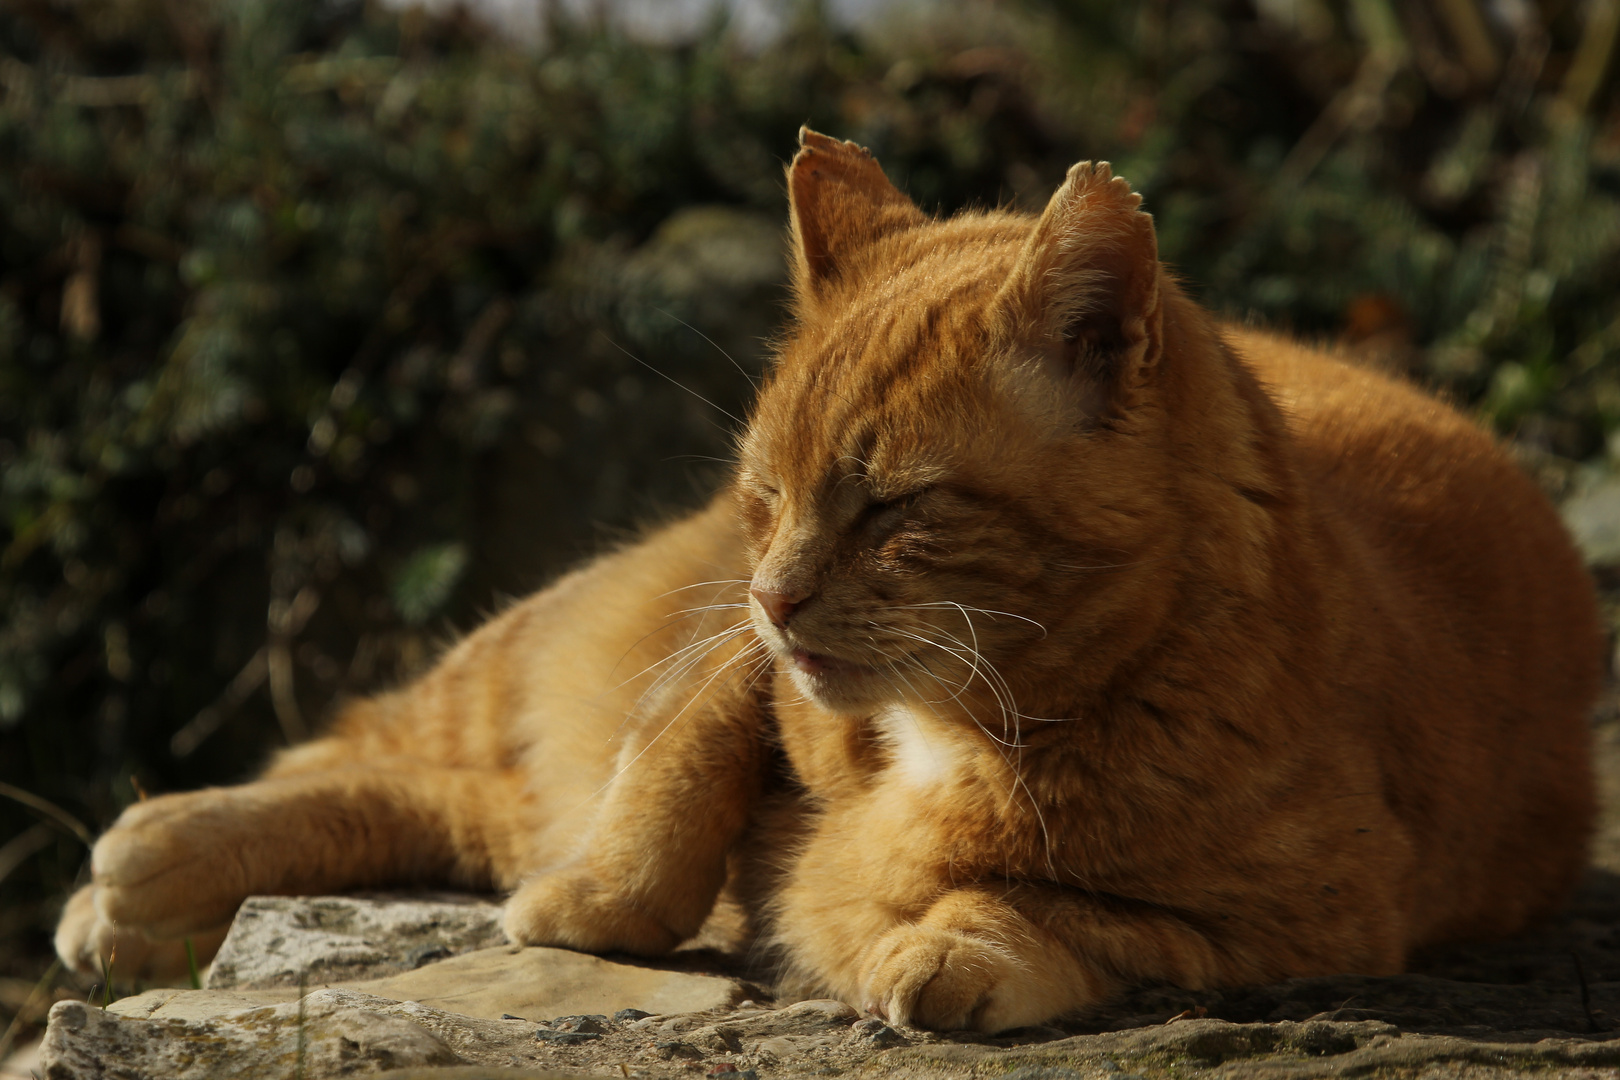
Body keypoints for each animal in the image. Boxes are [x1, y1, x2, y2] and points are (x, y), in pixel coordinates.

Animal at [50, 131, 1594, 1036]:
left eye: (897, 506)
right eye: (768, 498)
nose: (778, 594)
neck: (966, 724)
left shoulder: (1313, 922)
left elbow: (1075, 913)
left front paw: (953, 948)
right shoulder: (723, 666)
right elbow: (672, 773)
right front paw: (599, 899)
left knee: (443, 800)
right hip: (540, 652)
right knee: (377, 756)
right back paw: (146, 866)